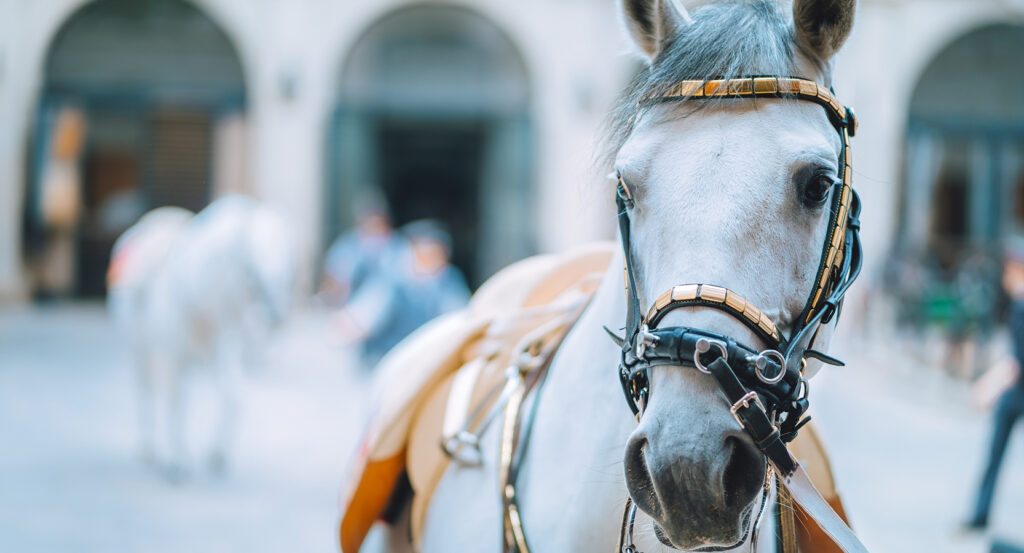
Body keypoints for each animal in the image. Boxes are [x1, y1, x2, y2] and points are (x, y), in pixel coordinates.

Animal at [109, 196, 299, 480]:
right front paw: (177, 461)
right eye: (250, 263)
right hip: (138, 347)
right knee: (146, 391)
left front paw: (217, 453)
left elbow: (232, 398)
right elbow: (177, 403)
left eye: (288, 258)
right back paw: (149, 448)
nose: (276, 315)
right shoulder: (173, 357)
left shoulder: (224, 353)